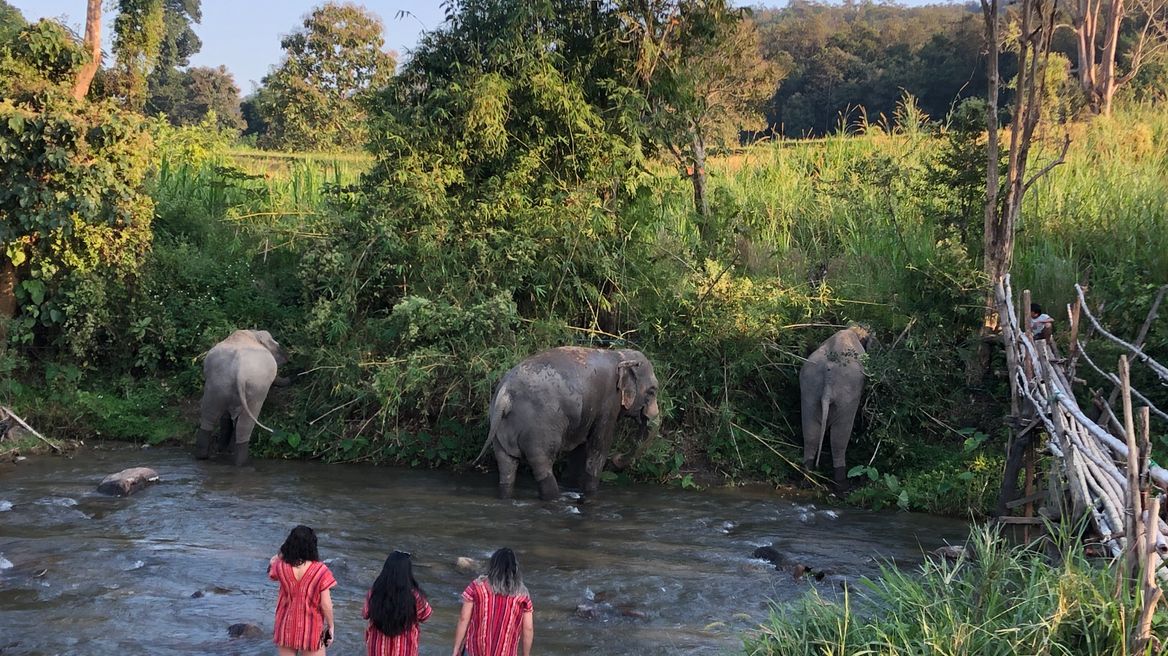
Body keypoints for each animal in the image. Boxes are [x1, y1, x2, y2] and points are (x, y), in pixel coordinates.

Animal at [193, 329, 288, 465]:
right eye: (278, 345)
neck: (254, 334)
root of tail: (239, 371)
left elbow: (226, 417)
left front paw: (225, 449)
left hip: (217, 384)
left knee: (209, 415)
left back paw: (203, 456)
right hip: (256, 387)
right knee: (245, 424)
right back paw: (241, 463)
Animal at [479, 346, 660, 500]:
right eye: (652, 391)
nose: (617, 458)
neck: (620, 355)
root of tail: (505, 394)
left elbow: (580, 448)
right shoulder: (609, 402)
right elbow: (599, 446)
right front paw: (591, 492)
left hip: (499, 430)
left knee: (506, 466)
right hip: (539, 429)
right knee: (543, 465)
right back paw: (553, 498)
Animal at [799, 326, 871, 492]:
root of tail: (829, 376)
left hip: (809, 392)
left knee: (810, 435)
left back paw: (807, 480)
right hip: (846, 399)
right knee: (839, 439)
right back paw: (843, 487)